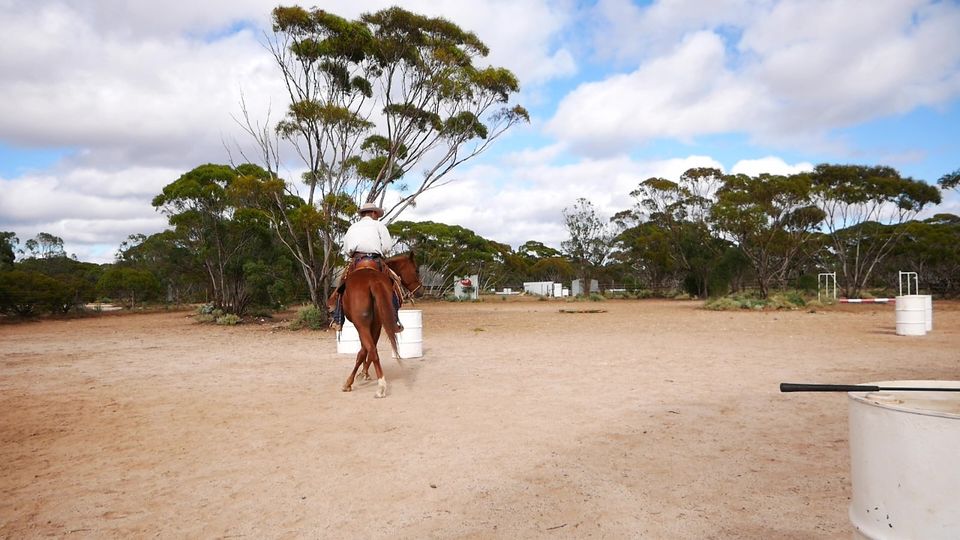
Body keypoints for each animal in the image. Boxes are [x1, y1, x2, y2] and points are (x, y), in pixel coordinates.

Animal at [342, 252, 424, 396]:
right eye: (416, 270)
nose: (421, 291)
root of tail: (372, 280)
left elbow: (364, 349)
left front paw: (362, 375)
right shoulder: (377, 324)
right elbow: (365, 349)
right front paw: (365, 373)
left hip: (362, 324)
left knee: (370, 349)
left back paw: (375, 385)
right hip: (374, 323)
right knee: (371, 349)